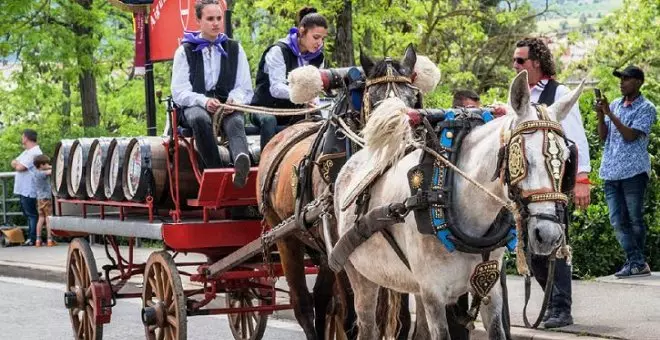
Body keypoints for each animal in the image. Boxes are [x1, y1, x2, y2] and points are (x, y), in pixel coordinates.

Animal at [256, 45, 422, 340]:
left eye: (414, 99)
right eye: (374, 102)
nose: (403, 147)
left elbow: (400, 318)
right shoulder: (345, 249)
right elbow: (353, 318)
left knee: (322, 300)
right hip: (286, 238)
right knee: (303, 304)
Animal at [336, 70, 584, 338]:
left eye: (567, 159)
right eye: (523, 159)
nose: (548, 235)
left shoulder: (488, 287)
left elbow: (496, 330)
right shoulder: (433, 292)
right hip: (360, 275)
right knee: (367, 324)